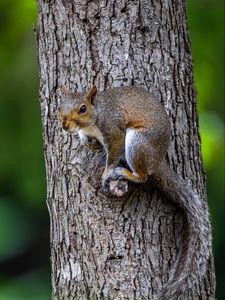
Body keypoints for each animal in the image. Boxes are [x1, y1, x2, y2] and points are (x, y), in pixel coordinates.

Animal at [59, 85, 211, 300]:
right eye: (59, 107)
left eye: (82, 108)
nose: (65, 126)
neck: (96, 117)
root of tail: (158, 160)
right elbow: (88, 141)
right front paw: (87, 142)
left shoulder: (113, 131)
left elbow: (113, 153)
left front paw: (106, 172)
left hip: (137, 142)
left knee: (143, 176)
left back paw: (125, 173)